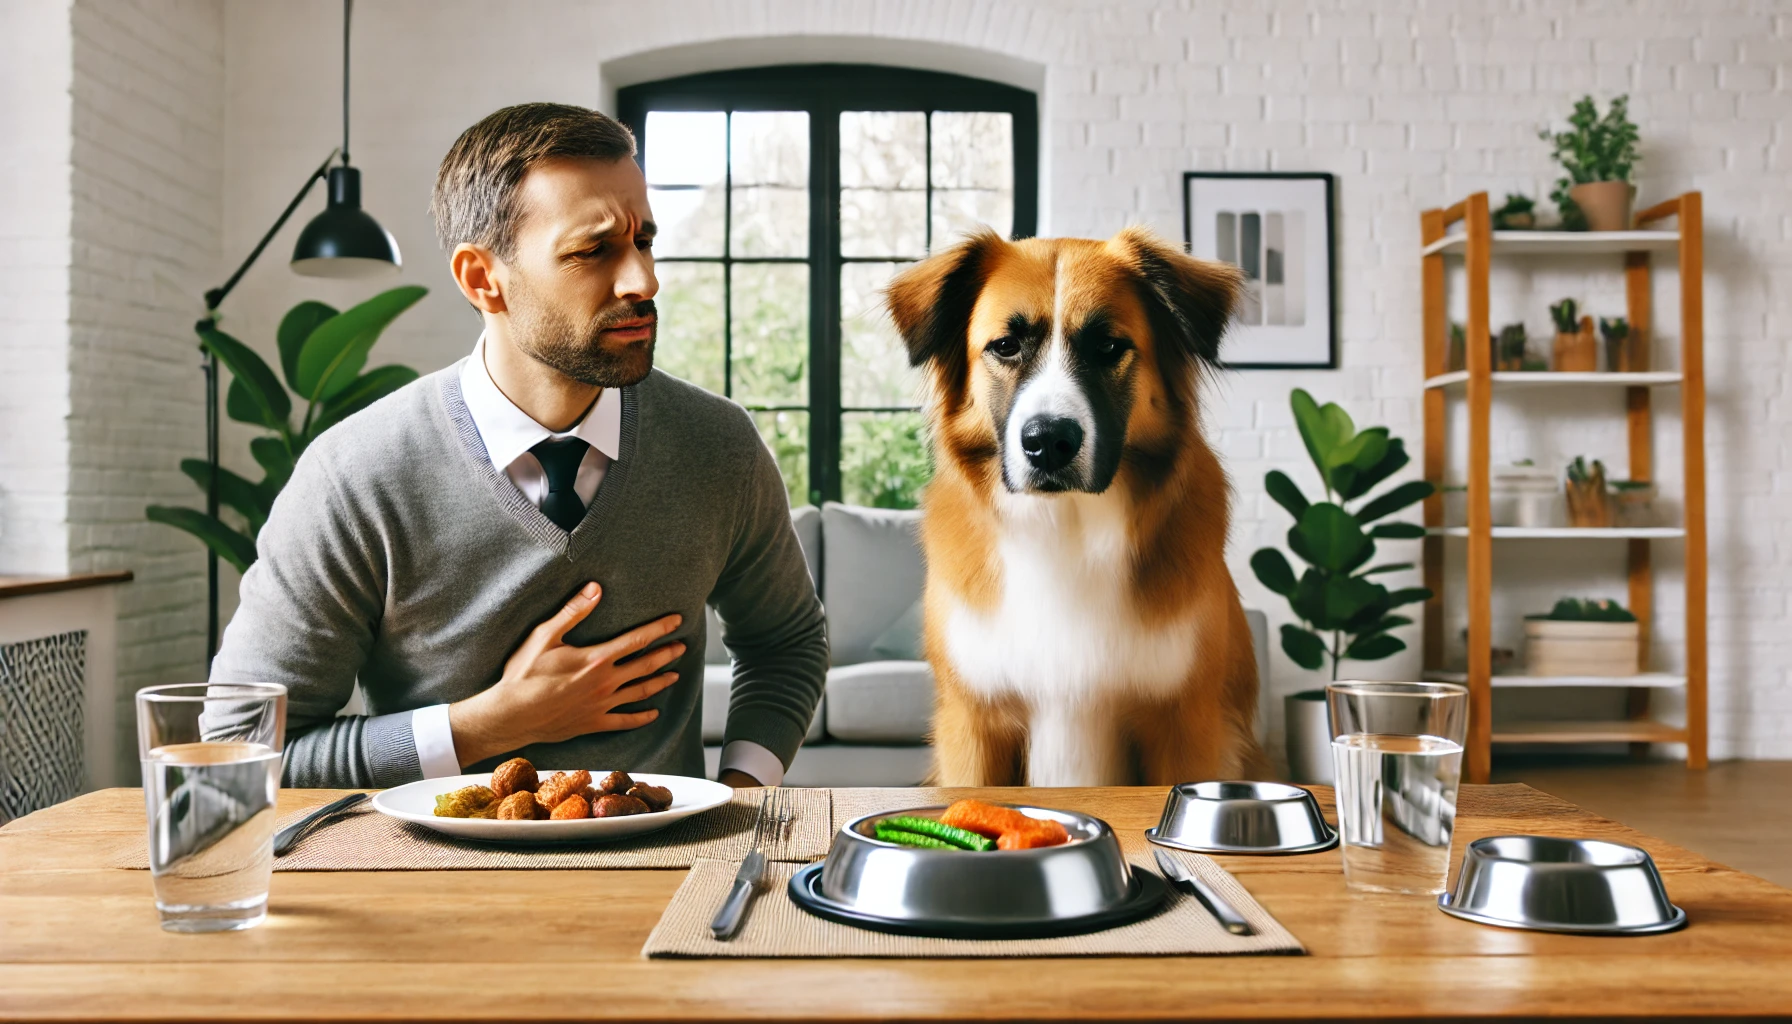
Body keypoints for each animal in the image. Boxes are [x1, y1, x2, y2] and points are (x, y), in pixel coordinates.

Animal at [888, 225, 1268, 785]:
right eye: (1005, 346)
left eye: (1109, 346)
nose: (1048, 441)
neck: (1065, 526)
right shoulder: (972, 724)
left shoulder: (1185, 723)